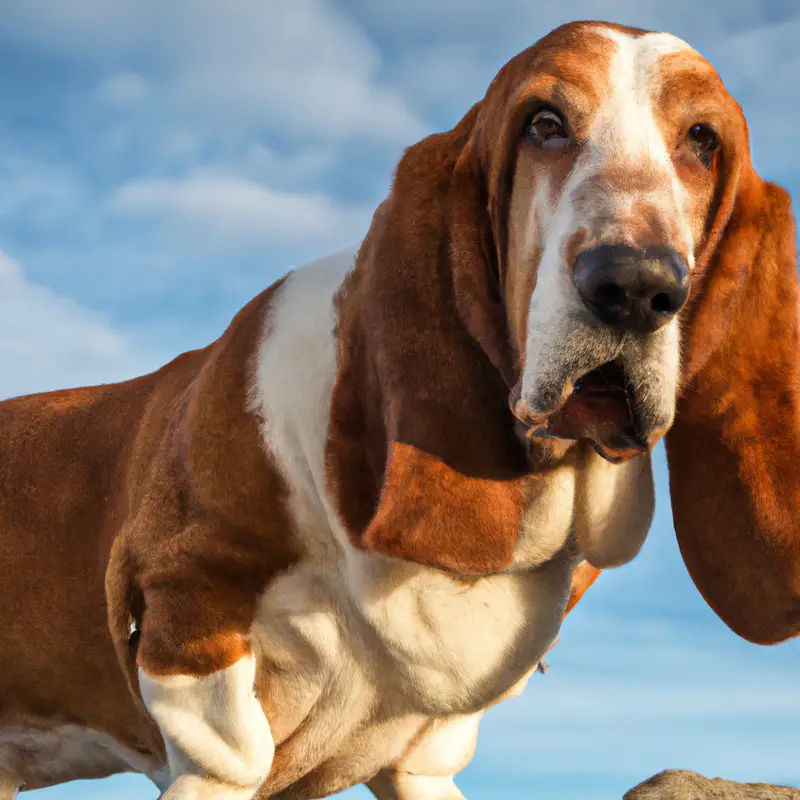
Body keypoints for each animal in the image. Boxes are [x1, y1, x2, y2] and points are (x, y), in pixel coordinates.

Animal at [1, 18, 800, 800]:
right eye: (543, 123)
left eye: (703, 139)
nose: (635, 285)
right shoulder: (187, 614)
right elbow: (228, 746)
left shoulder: (429, 750)